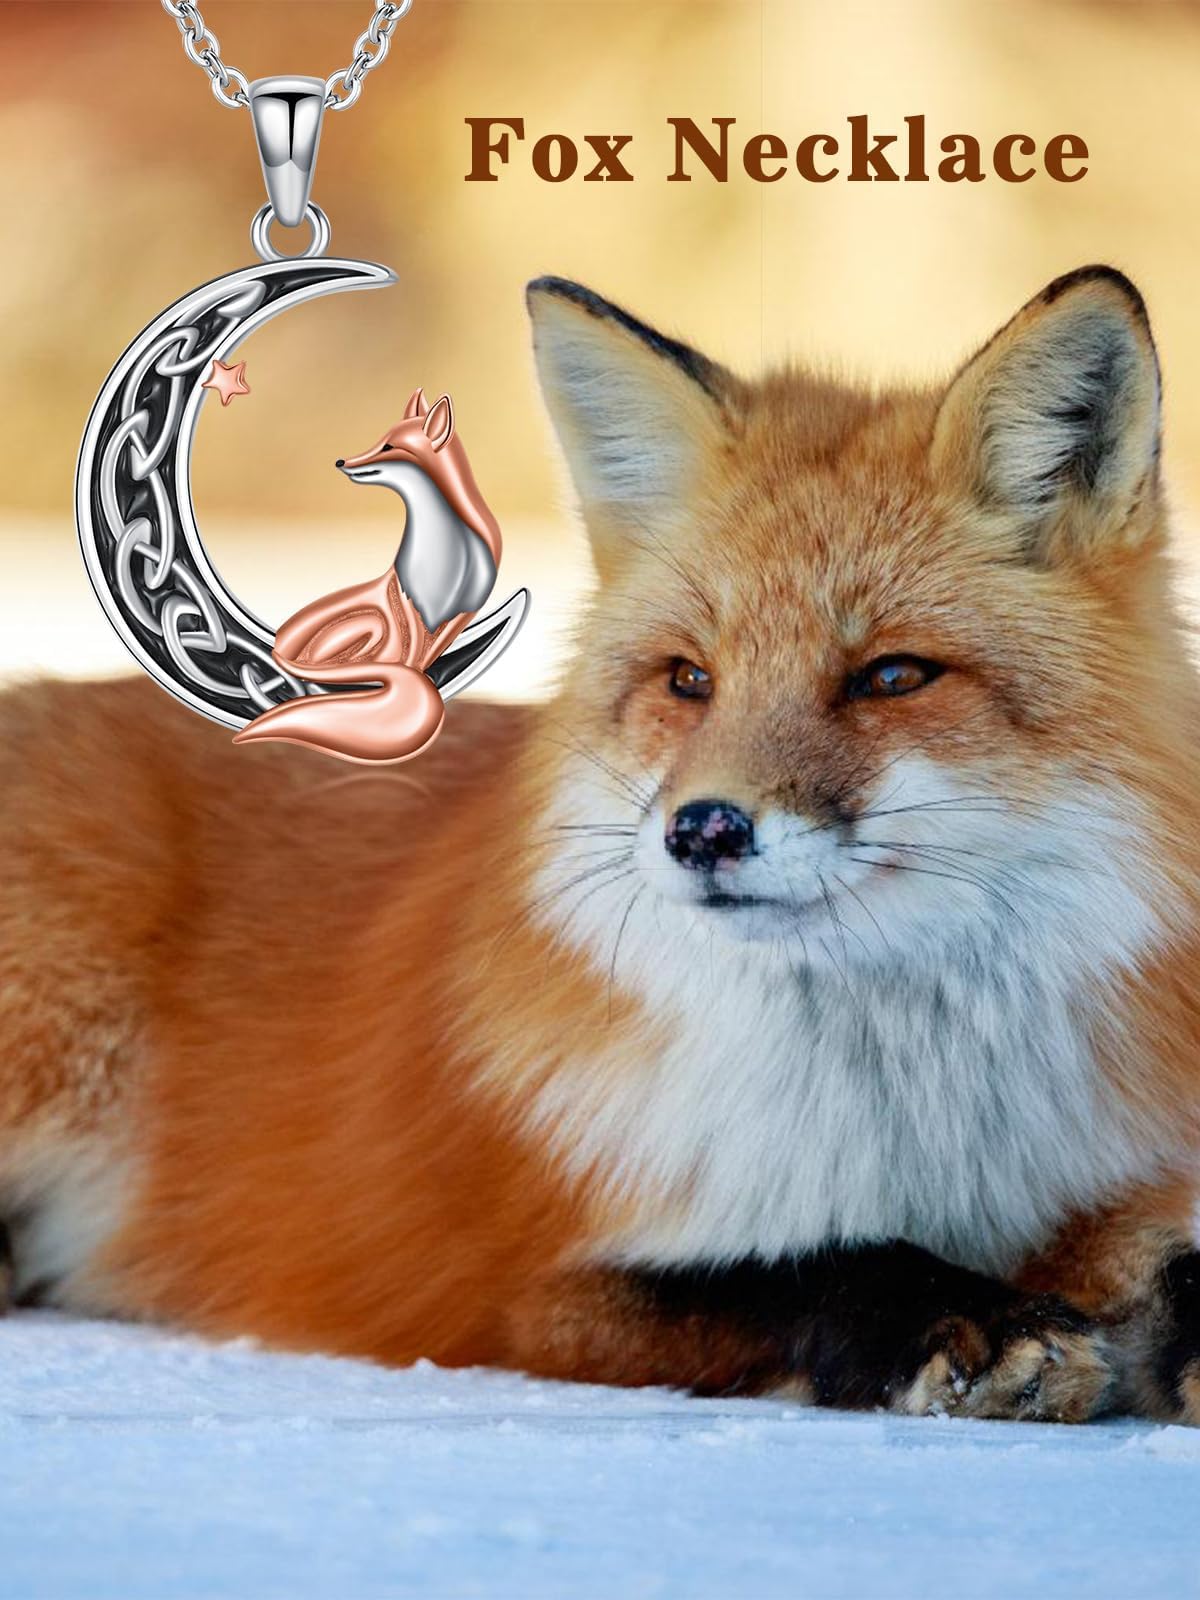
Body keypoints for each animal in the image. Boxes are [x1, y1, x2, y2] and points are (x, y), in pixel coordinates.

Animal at [2, 264, 1200, 1423]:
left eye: (894, 676)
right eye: (689, 679)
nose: (704, 829)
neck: (921, 1123)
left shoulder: (1119, 1177)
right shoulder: (519, 1289)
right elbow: (799, 1266)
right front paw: (964, 1315)